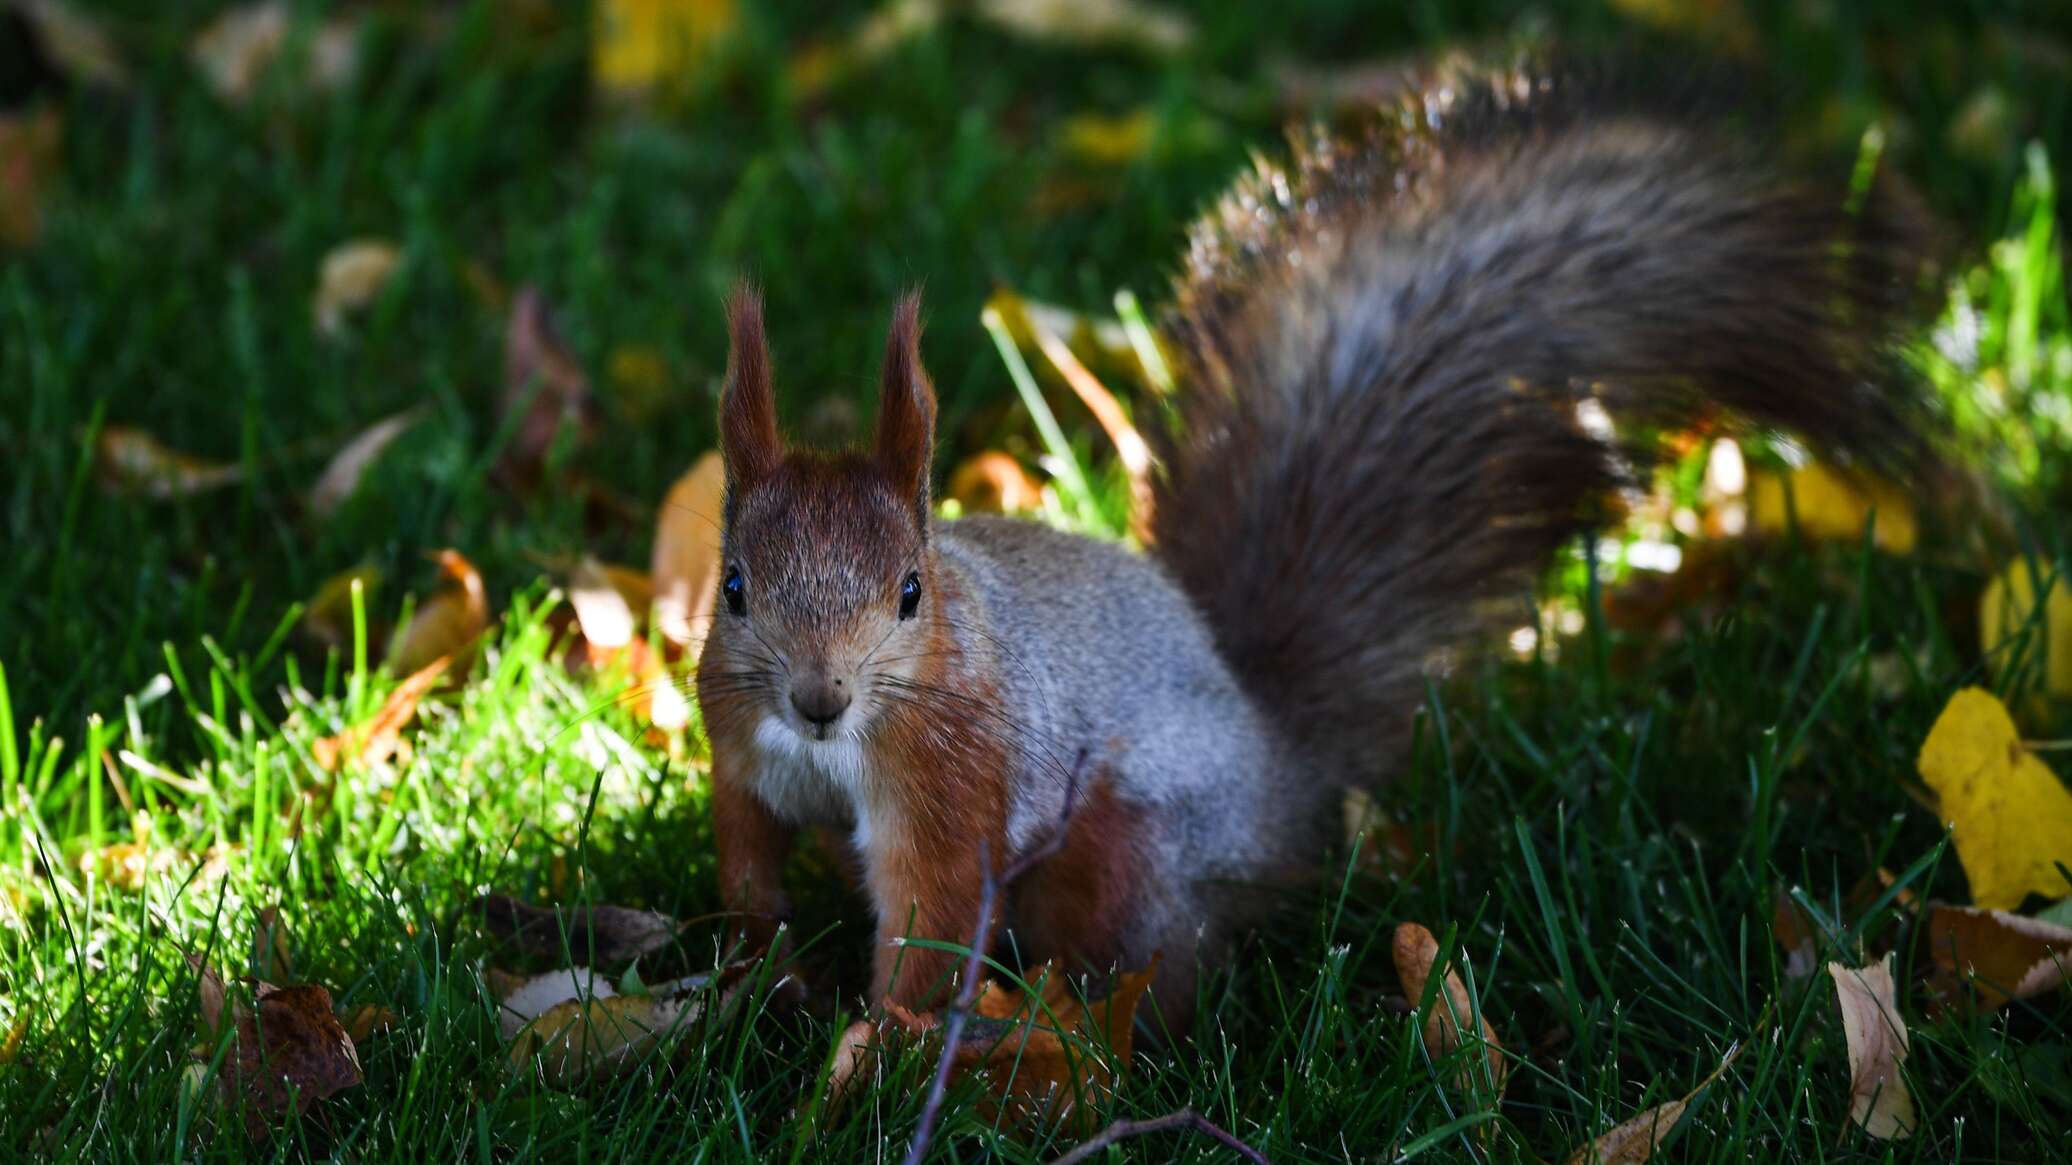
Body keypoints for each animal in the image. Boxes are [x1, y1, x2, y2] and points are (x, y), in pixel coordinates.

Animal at [687, 63, 1931, 1024]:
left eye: (909, 591)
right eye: (734, 586)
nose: (819, 699)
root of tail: (1279, 766)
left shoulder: (954, 782)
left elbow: (930, 925)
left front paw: (877, 1059)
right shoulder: (741, 750)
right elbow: (748, 871)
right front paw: (757, 984)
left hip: (1129, 846)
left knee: (1160, 961)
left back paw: (1081, 1040)